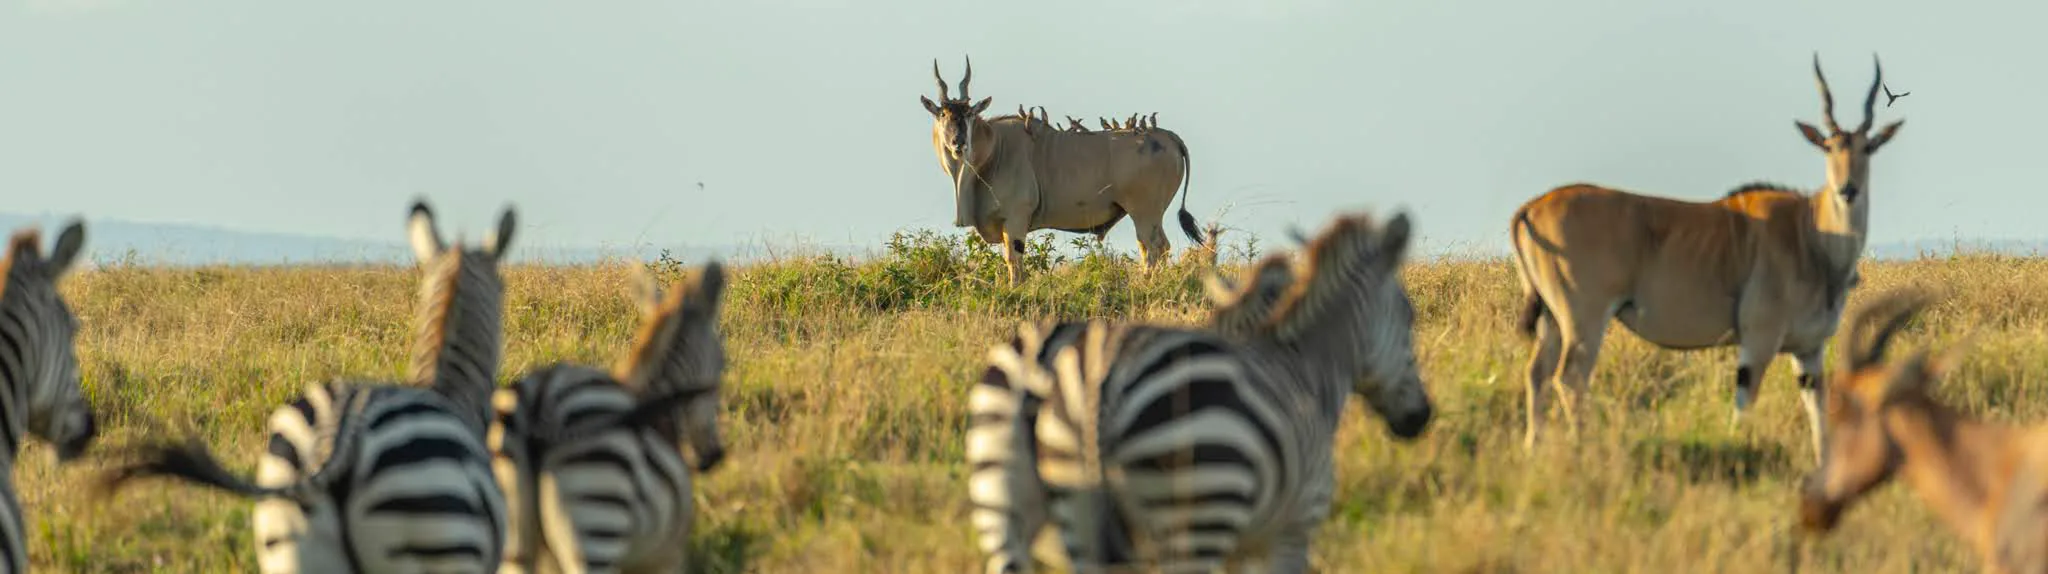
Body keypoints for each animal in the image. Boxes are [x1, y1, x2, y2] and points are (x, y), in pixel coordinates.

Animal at [490, 262, 730, 574]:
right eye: (724, 364)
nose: (713, 456)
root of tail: (540, 400)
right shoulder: (666, 556)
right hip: (596, 516)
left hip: (514, 540)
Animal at [965, 211, 1433, 573]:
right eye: (1408, 316)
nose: (1420, 417)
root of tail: (1099, 379)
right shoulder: (1292, 525)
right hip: (1202, 504)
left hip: (1012, 501)